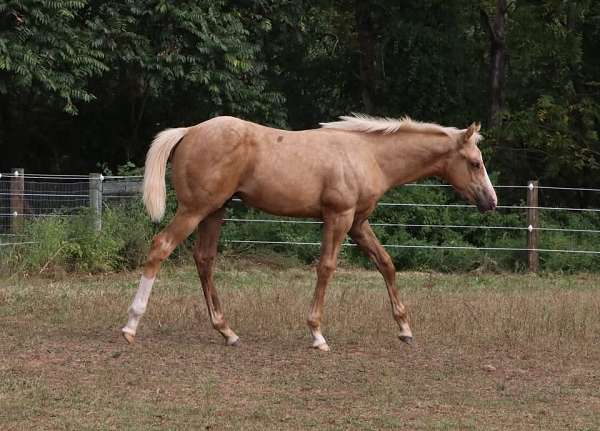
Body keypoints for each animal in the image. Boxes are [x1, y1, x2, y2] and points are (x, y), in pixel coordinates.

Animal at [120, 114, 496, 352]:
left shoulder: (358, 222)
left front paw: (405, 329)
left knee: (204, 260)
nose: (491, 201)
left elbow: (386, 264)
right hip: (195, 209)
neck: (368, 154)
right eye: (475, 163)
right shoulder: (338, 218)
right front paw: (317, 334)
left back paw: (228, 332)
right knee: (161, 247)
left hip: (214, 211)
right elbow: (326, 268)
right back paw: (131, 326)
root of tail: (189, 130)